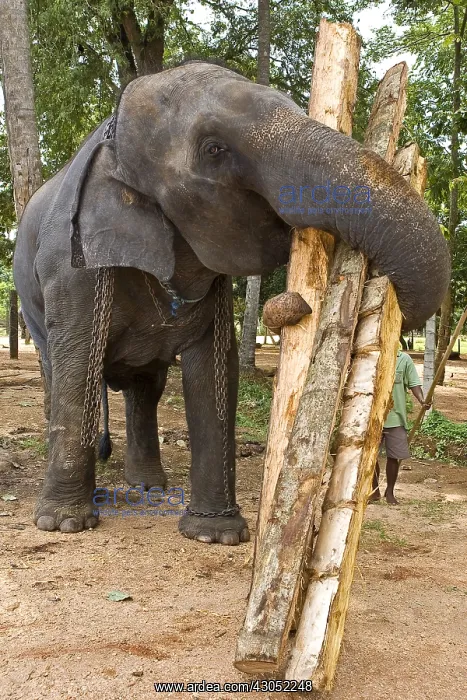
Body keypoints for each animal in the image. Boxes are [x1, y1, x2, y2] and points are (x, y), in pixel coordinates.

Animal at [13, 60, 450, 544]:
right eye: (214, 150)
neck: (113, 142)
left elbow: (213, 369)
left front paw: (215, 535)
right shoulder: (68, 268)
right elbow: (77, 361)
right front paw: (64, 524)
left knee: (146, 388)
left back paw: (148, 487)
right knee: (57, 371)